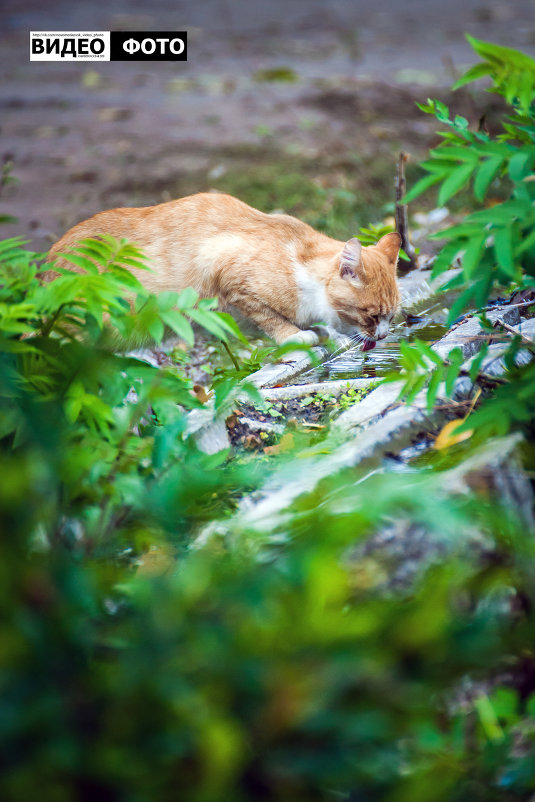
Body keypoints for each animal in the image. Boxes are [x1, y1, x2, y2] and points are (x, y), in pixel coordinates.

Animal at [48, 194, 400, 350]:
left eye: (392, 316)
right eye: (372, 316)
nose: (384, 335)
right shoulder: (225, 270)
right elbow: (268, 316)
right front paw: (294, 335)